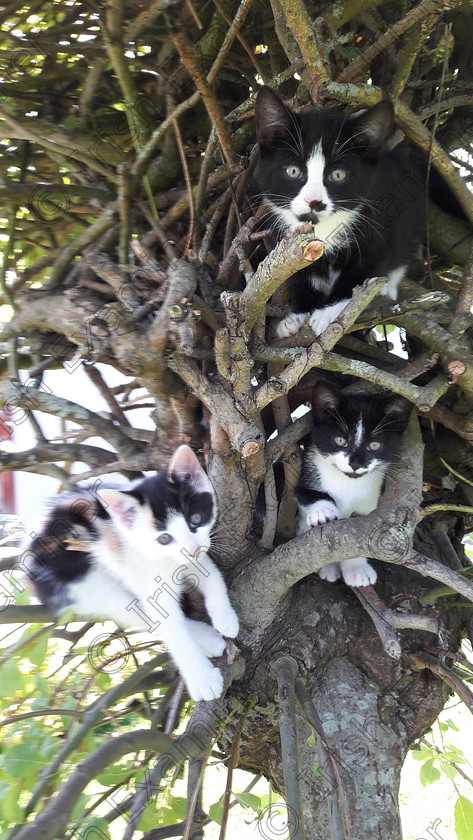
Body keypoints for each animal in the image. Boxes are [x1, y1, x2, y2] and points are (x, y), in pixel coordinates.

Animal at [24, 446, 240, 704]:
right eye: (164, 538)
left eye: (195, 518)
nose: (192, 549)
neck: (163, 559)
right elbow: (171, 631)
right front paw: (201, 678)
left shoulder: (193, 556)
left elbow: (212, 575)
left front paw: (225, 618)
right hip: (87, 585)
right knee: (140, 615)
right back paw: (205, 638)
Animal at [296, 384, 410, 588]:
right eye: (340, 440)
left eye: (374, 445)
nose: (356, 464)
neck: (348, 482)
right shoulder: (306, 470)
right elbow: (306, 493)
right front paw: (323, 511)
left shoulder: (369, 504)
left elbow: (355, 535)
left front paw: (357, 570)